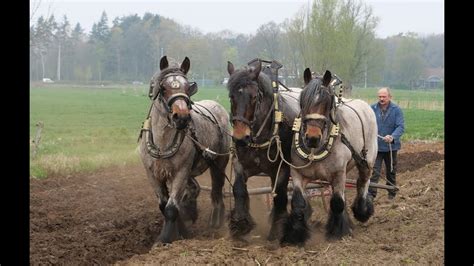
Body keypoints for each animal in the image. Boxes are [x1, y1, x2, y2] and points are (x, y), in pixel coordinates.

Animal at [139, 56, 231, 243]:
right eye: (163, 88)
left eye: (188, 87)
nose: (181, 117)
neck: (162, 143)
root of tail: (217, 105)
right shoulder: (152, 174)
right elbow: (164, 205)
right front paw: (181, 230)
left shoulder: (181, 172)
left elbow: (171, 208)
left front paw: (166, 239)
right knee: (194, 189)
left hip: (219, 163)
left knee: (217, 191)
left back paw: (216, 221)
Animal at [227, 59, 300, 241]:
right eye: (231, 96)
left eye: (254, 97)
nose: (240, 137)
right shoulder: (240, 163)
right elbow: (239, 189)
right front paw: (240, 224)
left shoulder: (282, 168)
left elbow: (280, 196)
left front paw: (277, 231)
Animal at [282, 68, 378, 245]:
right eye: (303, 99)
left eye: (327, 101)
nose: (312, 137)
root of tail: (365, 106)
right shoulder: (298, 173)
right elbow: (298, 202)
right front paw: (296, 235)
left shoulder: (338, 173)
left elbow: (337, 203)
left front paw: (338, 232)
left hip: (366, 161)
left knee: (363, 182)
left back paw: (362, 211)